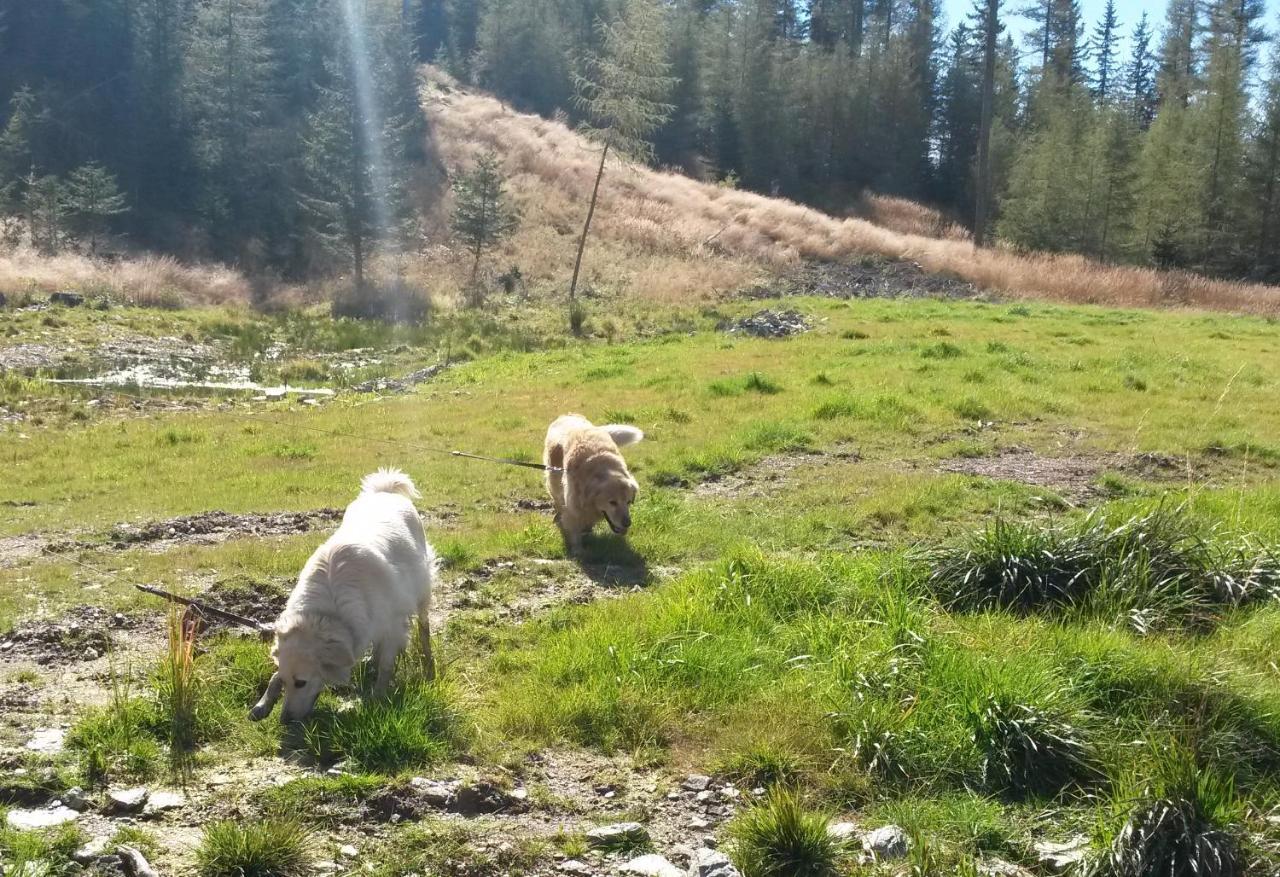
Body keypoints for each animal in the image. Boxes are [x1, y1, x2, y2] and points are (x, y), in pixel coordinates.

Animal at [249, 468, 440, 722]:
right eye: (287, 680)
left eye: (301, 683)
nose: (285, 720)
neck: (327, 612)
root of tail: (385, 492)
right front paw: (263, 703)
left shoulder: (391, 625)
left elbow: (386, 667)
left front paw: (377, 698)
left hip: (421, 591)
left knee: (424, 628)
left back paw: (428, 664)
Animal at [542, 414, 645, 550]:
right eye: (612, 502)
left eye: (628, 502)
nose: (627, 523)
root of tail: (567, 415)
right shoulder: (573, 507)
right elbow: (574, 531)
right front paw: (578, 551)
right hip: (553, 478)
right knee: (556, 498)